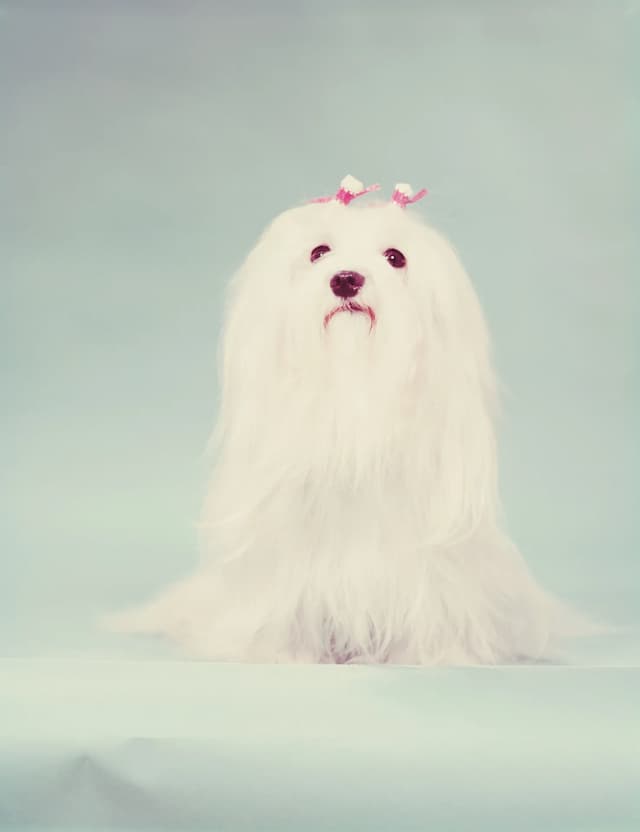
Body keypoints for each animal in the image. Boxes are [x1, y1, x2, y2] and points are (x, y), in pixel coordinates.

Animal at [106, 174, 592, 664]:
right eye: (319, 252)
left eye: (395, 257)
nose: (345, 279)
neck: (353, 393)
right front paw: (282, 652)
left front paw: (431, 653)